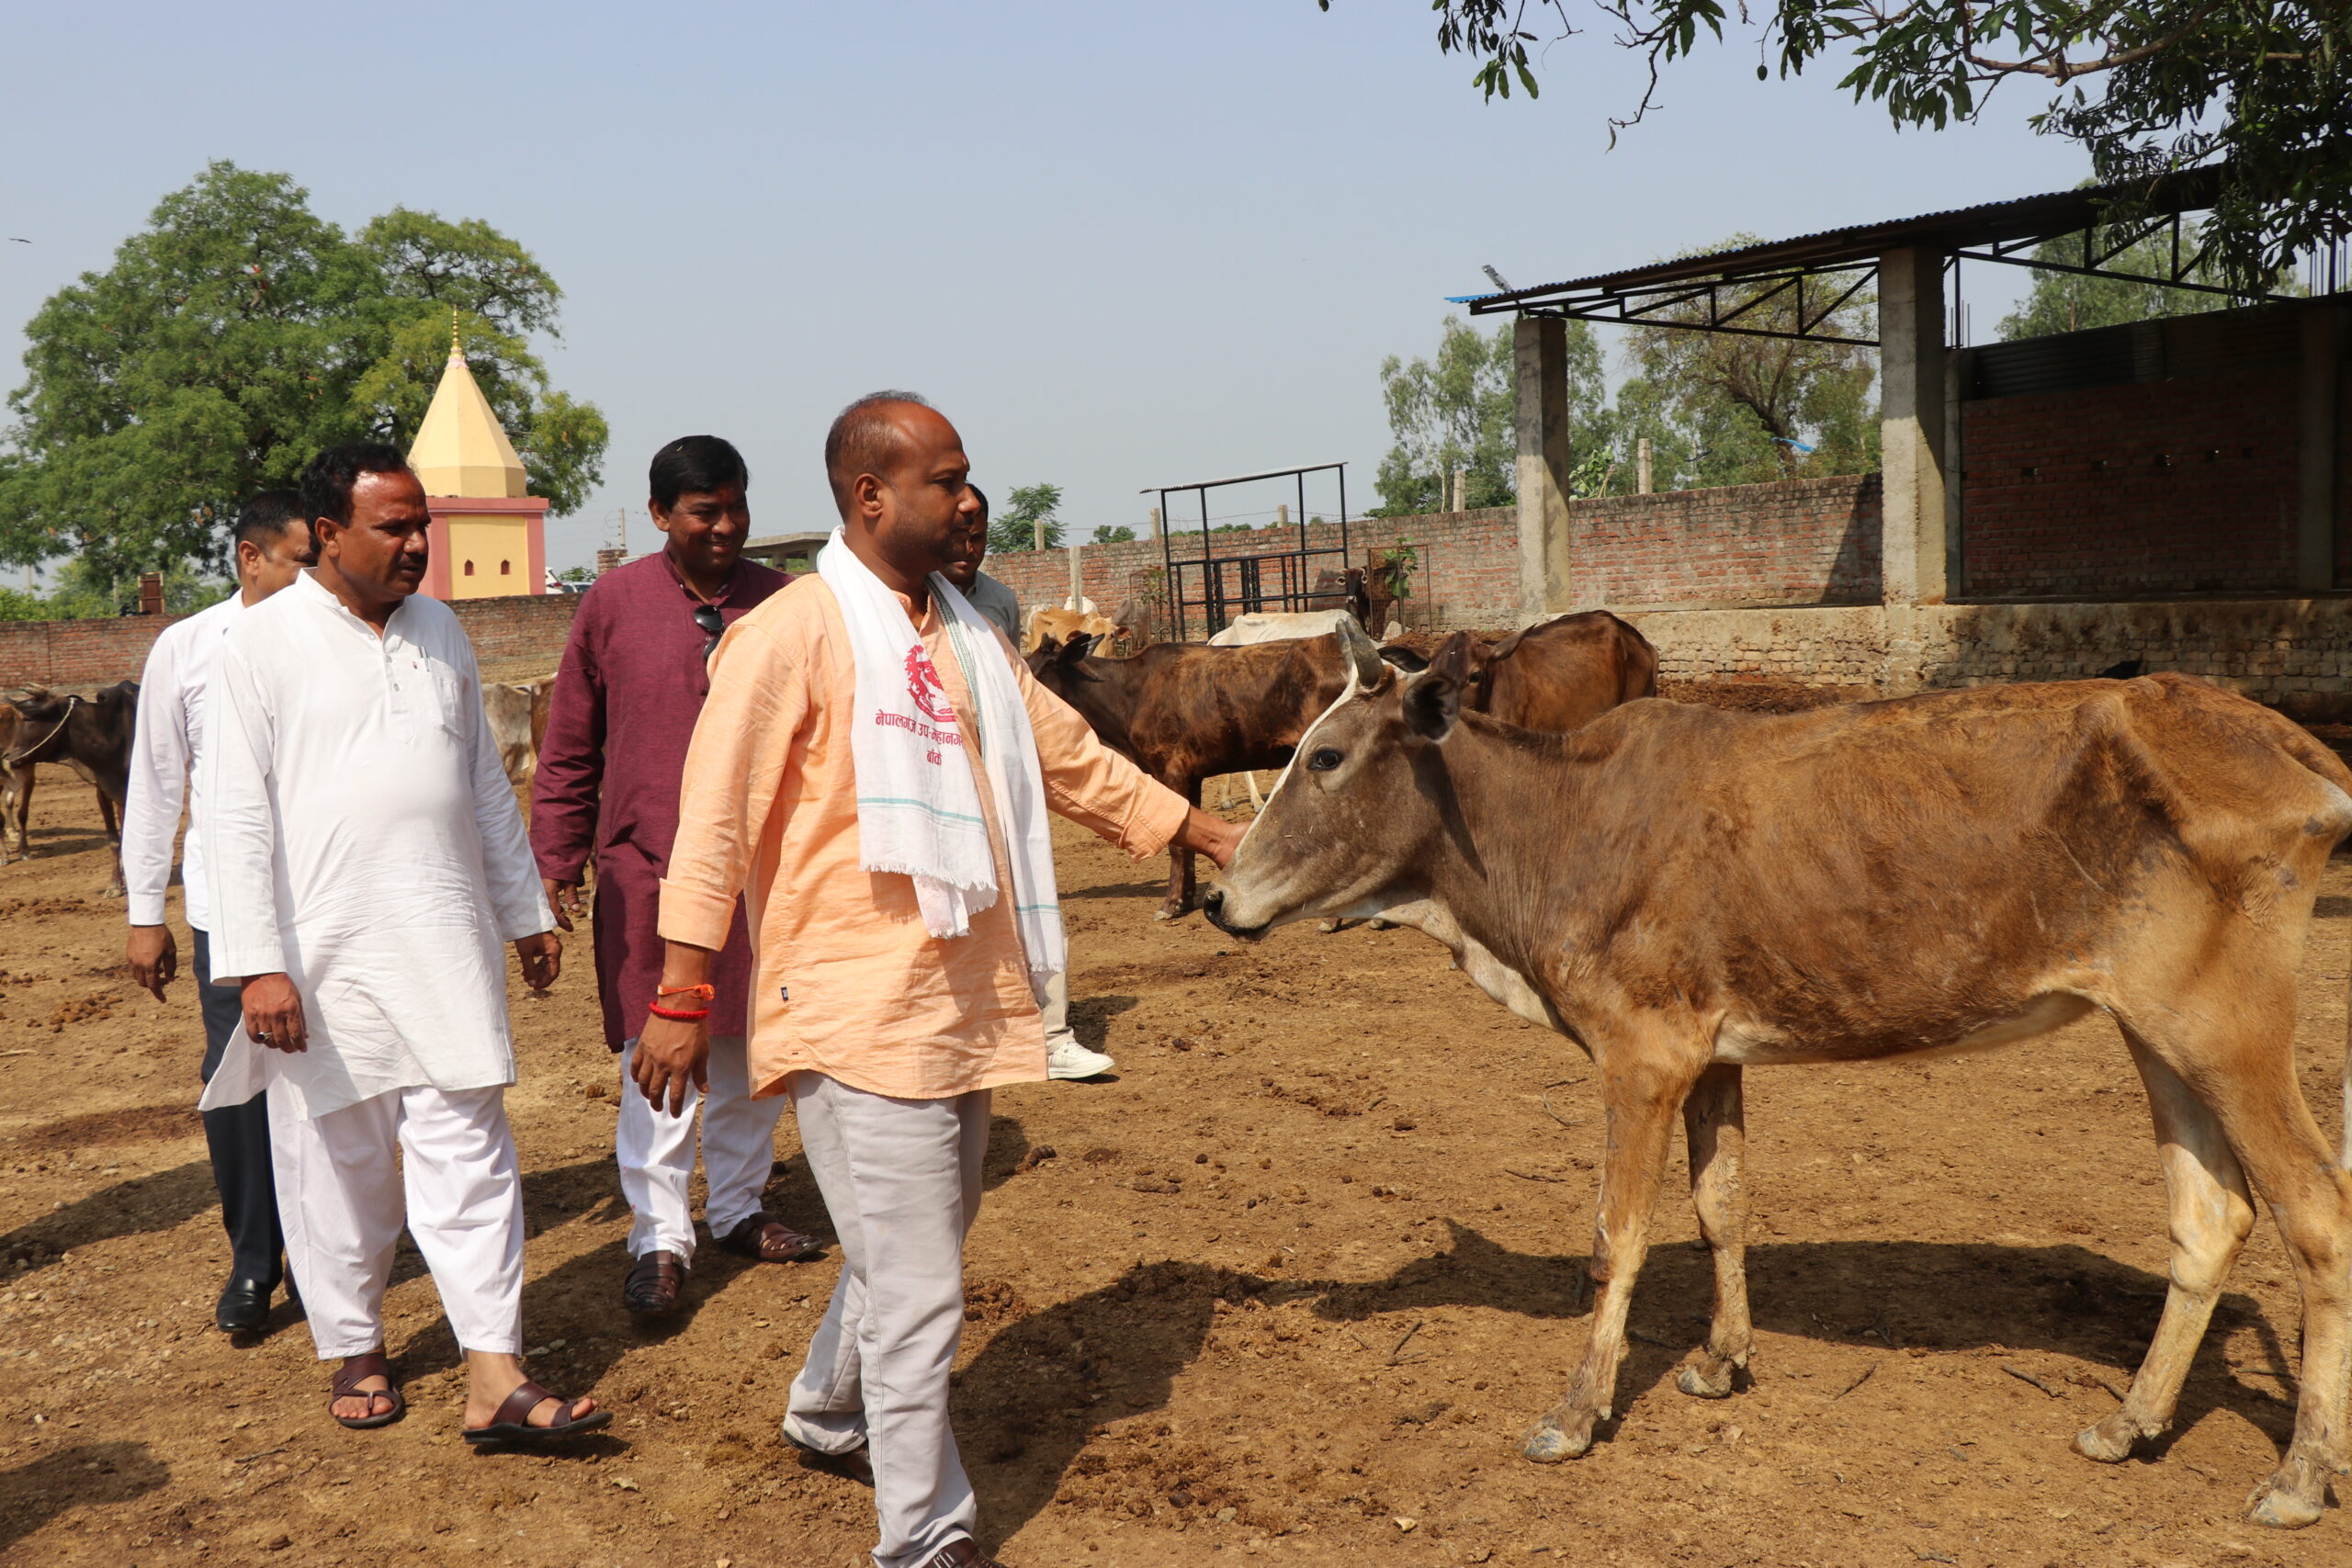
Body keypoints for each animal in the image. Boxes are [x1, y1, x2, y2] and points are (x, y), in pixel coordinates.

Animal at [1213, 629, 2352, 1523]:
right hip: (2154, 1028)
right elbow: (1720, 1204)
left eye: (1325, 756)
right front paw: (1721, 1361)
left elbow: (1616, 1237)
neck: (1551, 826)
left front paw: (1575, 1414)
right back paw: (2131, 1422)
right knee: (2210, 1215)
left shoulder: (1640, 1055)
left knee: (2315, 1210)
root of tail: (2278, 738)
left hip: (2226, 1028)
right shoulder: (1708, 1055)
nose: (1220, 896)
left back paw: (2298, 1478)